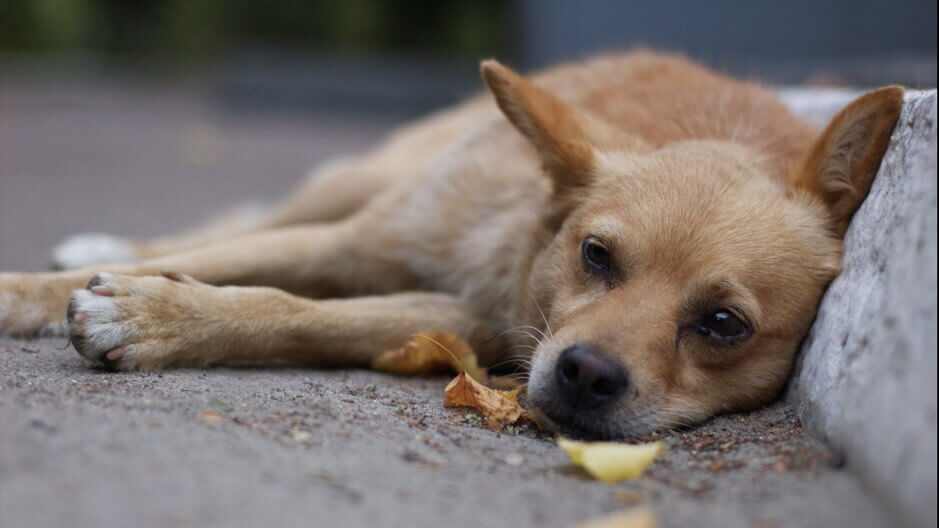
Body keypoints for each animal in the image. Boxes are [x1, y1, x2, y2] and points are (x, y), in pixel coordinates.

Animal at [0, 51, 904, 440]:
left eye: (722, 326)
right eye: (597, 256)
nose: (584, 374)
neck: (514, 257)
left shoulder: (450, 320)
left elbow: (289, 310)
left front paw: (158, 317)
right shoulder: (352, 241)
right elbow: (234, 262)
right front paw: (26, 293)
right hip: (364, 184)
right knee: (232, 225)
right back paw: (106, 240)